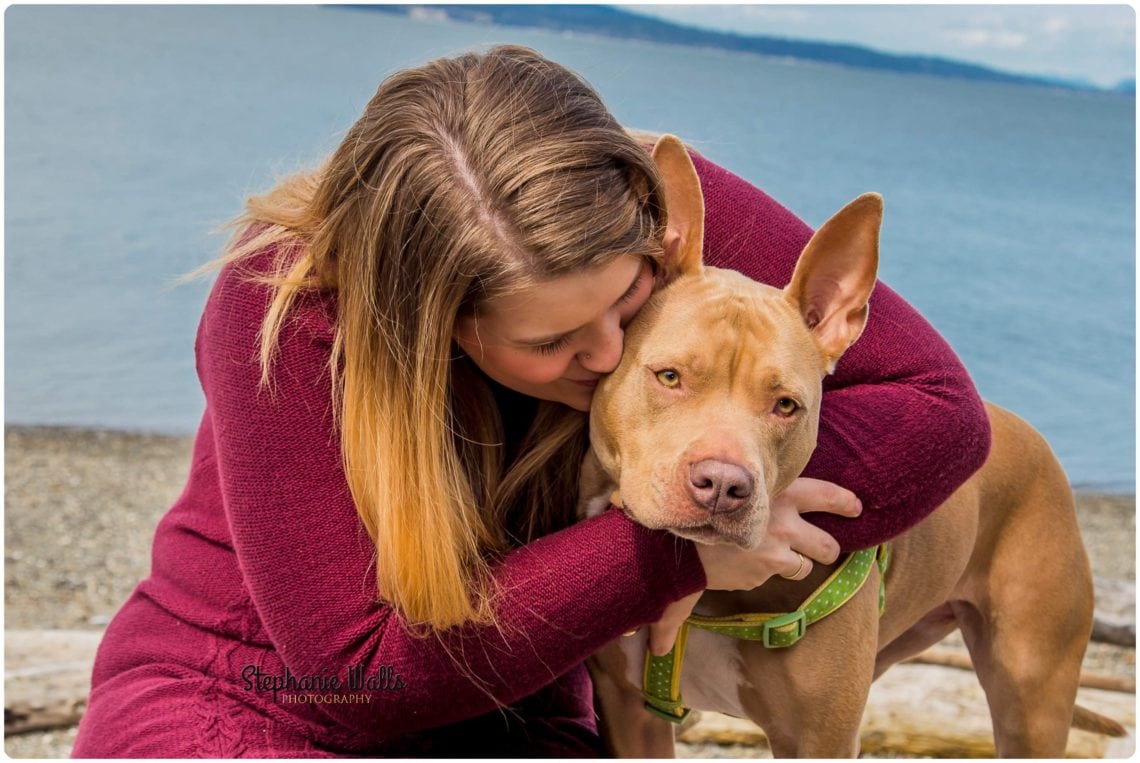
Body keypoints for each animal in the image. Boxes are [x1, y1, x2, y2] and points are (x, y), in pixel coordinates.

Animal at [583, 135, 1117, 757]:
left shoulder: (820, 739)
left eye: (786, 405)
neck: (712, 605)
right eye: (669, 376)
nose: (723, 486)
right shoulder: (630, 713)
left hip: (1032, 696)